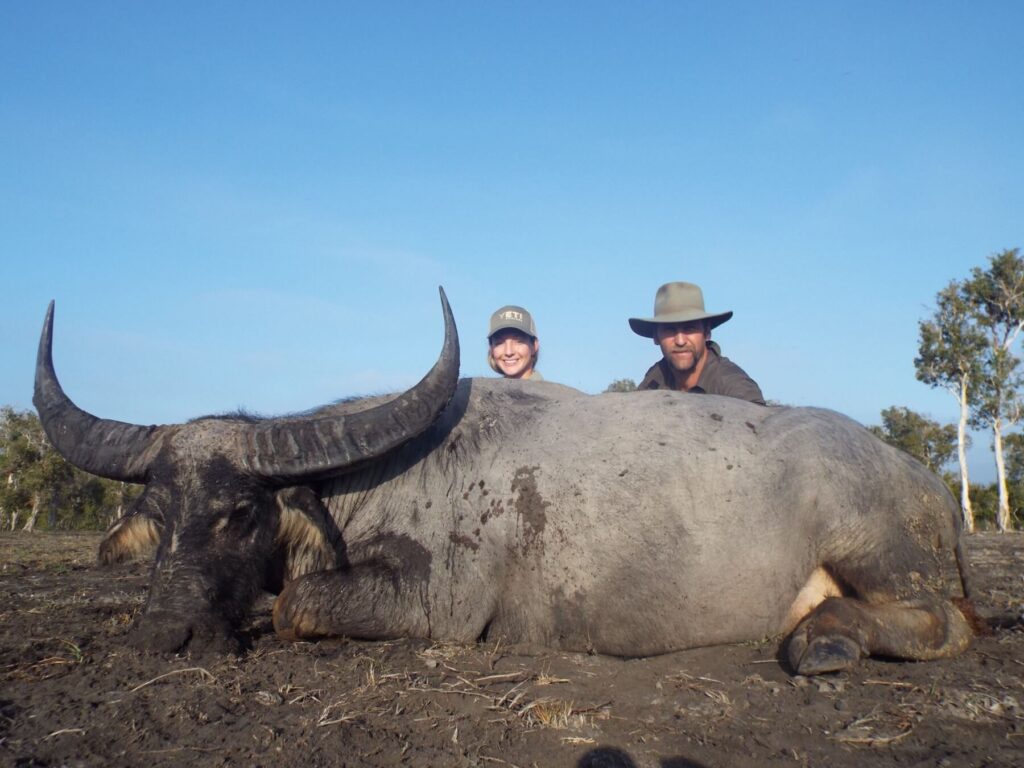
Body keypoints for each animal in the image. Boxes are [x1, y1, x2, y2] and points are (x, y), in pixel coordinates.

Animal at [35, 290, 975, 674]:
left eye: (239, 513)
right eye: (161, 515)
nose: (166, 636)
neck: (369, 478)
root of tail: (920, 478)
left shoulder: (439, 608)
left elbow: (298, 605)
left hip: (871, 549)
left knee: (944, 621)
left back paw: (827, 640)